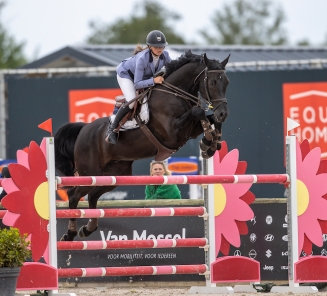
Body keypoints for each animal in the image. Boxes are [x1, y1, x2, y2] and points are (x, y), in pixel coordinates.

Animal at [54, 50, 231, 240]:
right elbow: (199, 112)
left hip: (115, 175)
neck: (174, 94)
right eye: (212, 82)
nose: (223, 113)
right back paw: (70, 234)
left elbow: (209, 118)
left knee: (93, 196)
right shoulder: (174, 132)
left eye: (227, 82)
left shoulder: (189, 130)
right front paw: (208, 142)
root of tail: (83, 130)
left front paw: (211, 143)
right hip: (90, 173)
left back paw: (88, 228)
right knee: (74, 195)